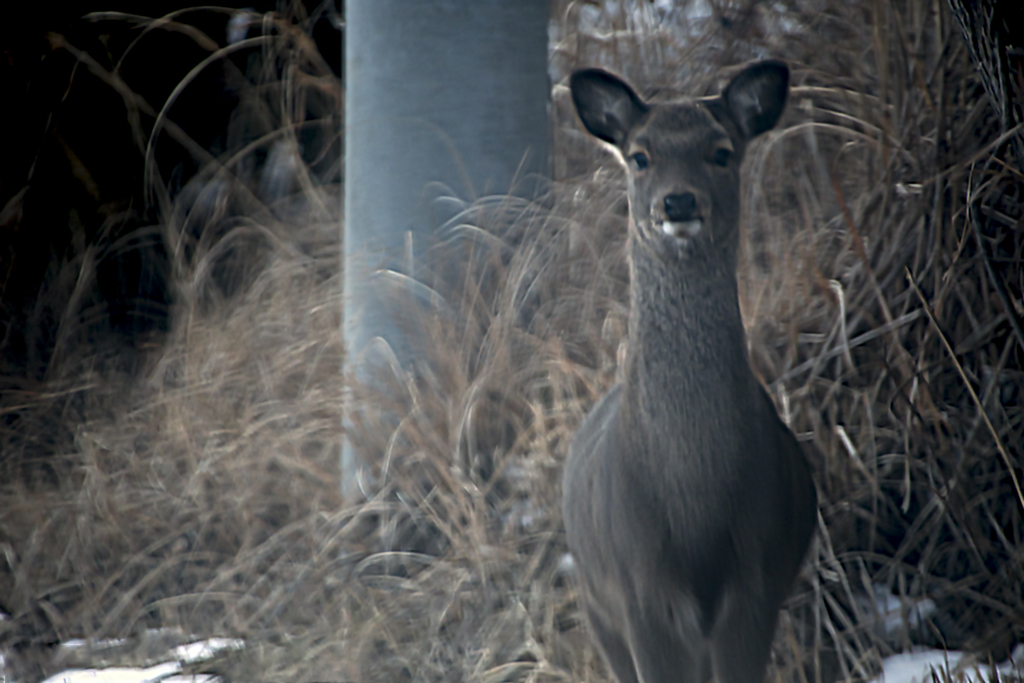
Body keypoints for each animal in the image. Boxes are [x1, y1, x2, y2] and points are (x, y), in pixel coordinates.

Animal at [561, 60, 815, 683]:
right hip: (597, 606)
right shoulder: (639, 591)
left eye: (721, 151)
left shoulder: (756, 583)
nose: (677, 203)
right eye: (640, 155)